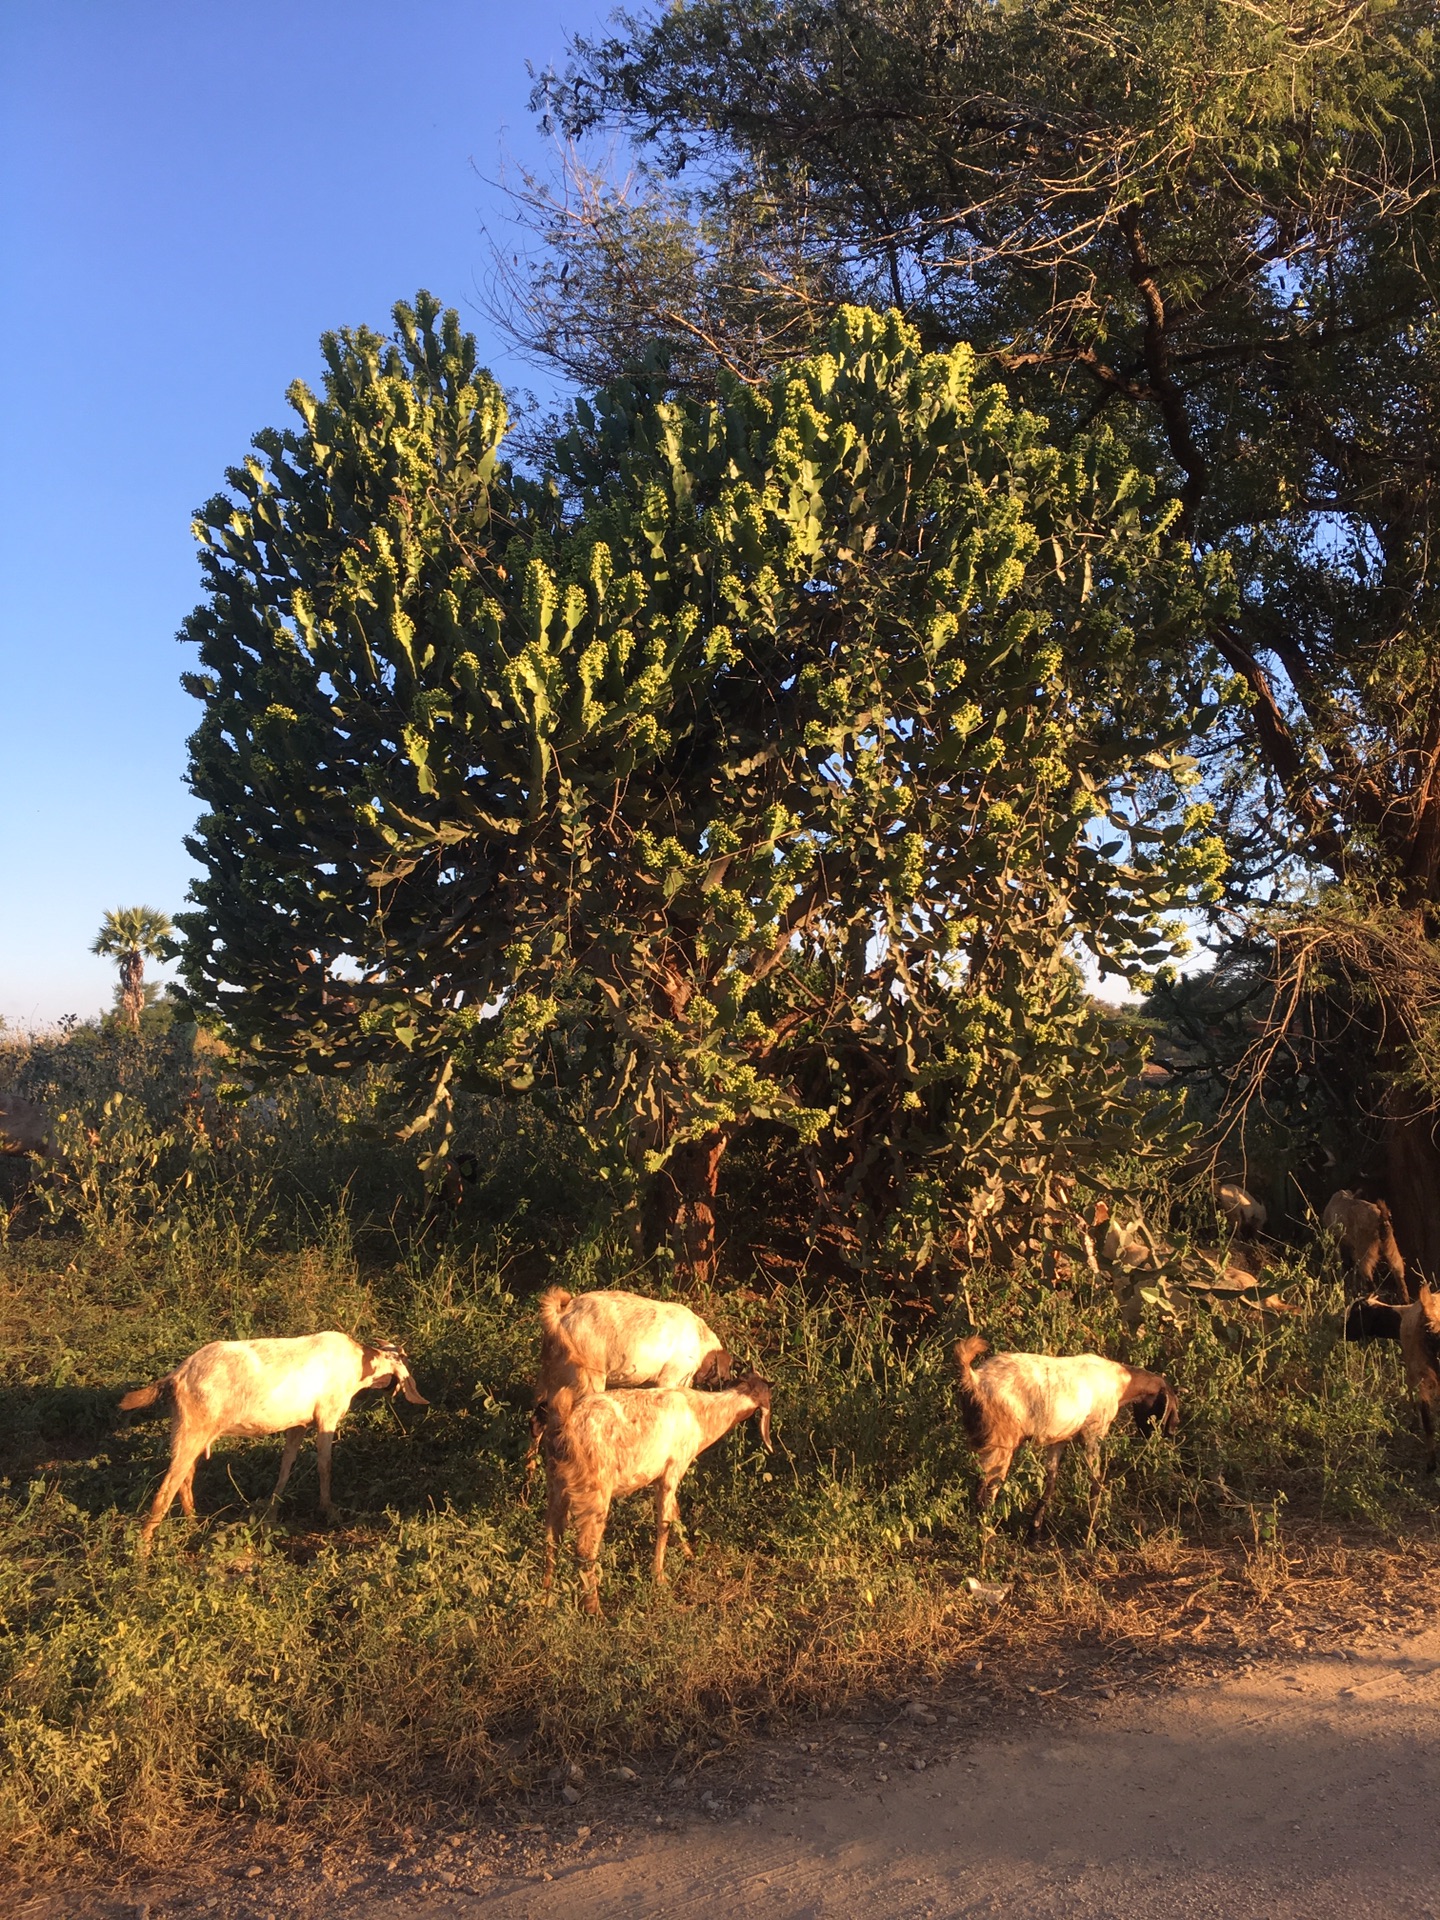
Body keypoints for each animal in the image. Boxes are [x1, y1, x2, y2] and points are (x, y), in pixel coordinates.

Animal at [119, 1328, 426, 1551]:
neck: (356, 1363)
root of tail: (177, 1375)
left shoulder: (298, 1425)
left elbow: (286, 1466)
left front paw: (271, 1513)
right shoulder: (327, 1416)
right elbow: (324, 1465)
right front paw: (330, 1512)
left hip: (188, 1430)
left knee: (185, 1478)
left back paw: (195, 1525)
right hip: (192, 1429)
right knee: (167, 1487)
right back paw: (144, 1550)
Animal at [541, 1359, 771, 1612]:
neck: (702, 1414)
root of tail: (566, 1426)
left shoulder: (661, 1476)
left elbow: (675, 1515)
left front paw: (689, 1554)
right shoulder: (673, 1469)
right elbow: (665, 1524)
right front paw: (659, 1576)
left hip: (557, 1484)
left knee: (551, 1536)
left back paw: (545, 1594)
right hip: (595, 1489)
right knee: (585, 1548)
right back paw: (594, 1608)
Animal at [952, 1344, 1175, 1536]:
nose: (1169, 1434)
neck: (1121, 1383)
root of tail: (975, 1379)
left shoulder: (1059, 1439)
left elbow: (1050, 1482)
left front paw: (1034, 1531)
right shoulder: (1093, 1434)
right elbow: (1095, 1481)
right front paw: (1095, 1529)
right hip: (1001, 1443)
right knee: (987, 1487)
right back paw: (986, 1534)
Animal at [1344, 1290, 1440, 1466]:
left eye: (1356, 1314)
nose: (1345, 1334)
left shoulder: (1413, 1368)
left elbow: (1411, 1394)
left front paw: (1413, 1424)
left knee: (1427, 1418)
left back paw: (1431, 1463)